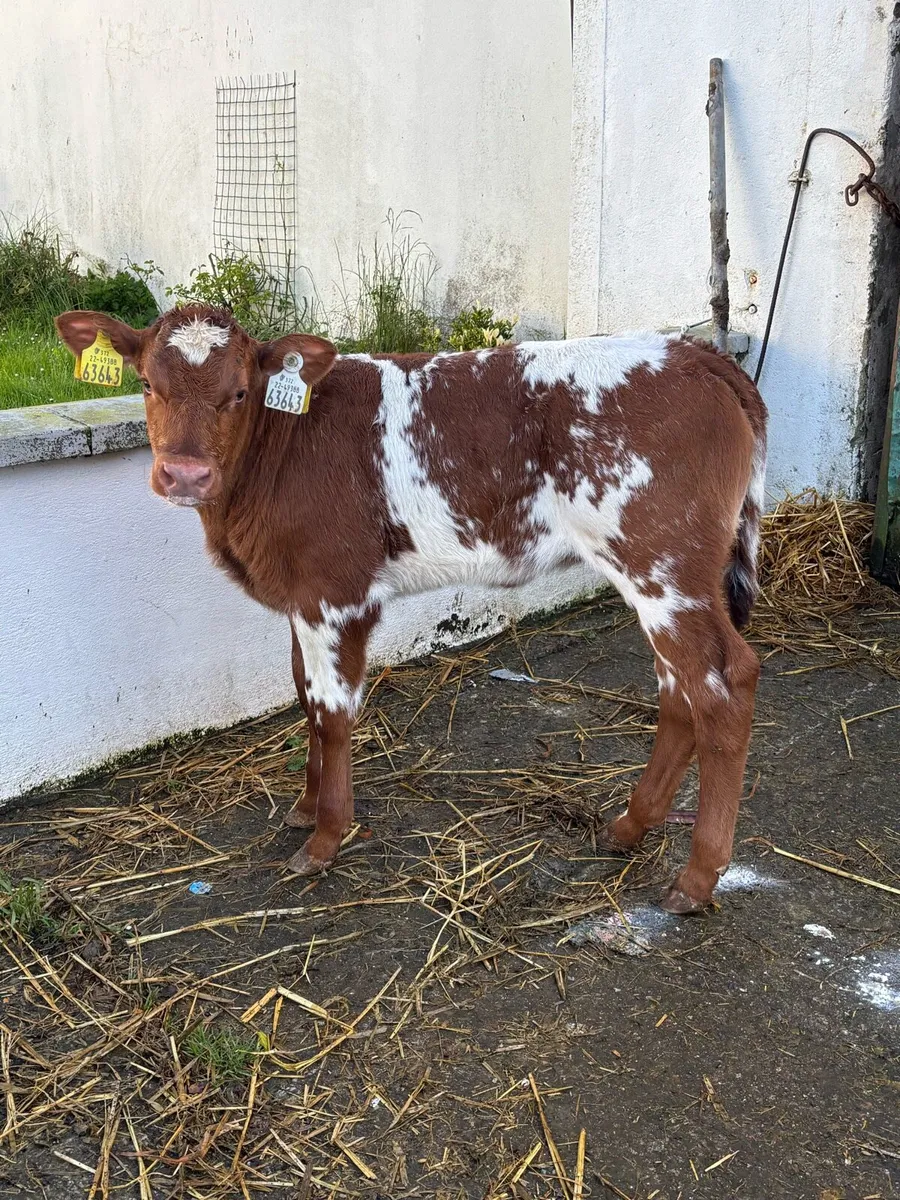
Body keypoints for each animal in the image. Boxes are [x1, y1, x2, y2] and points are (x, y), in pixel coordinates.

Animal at [56, 305, 767, 913]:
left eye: (238, 392)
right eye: (146, 383)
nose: (184, 474)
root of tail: (699, 355)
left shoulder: (335, 592)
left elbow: (332, 712)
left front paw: (325, 838)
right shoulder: (300, 595)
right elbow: (303, 693)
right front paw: (305, 807)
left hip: (662, 563)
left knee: (724, 681)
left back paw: (697, 877)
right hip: (660, 577)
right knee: (678, 690)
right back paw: (628, 826)